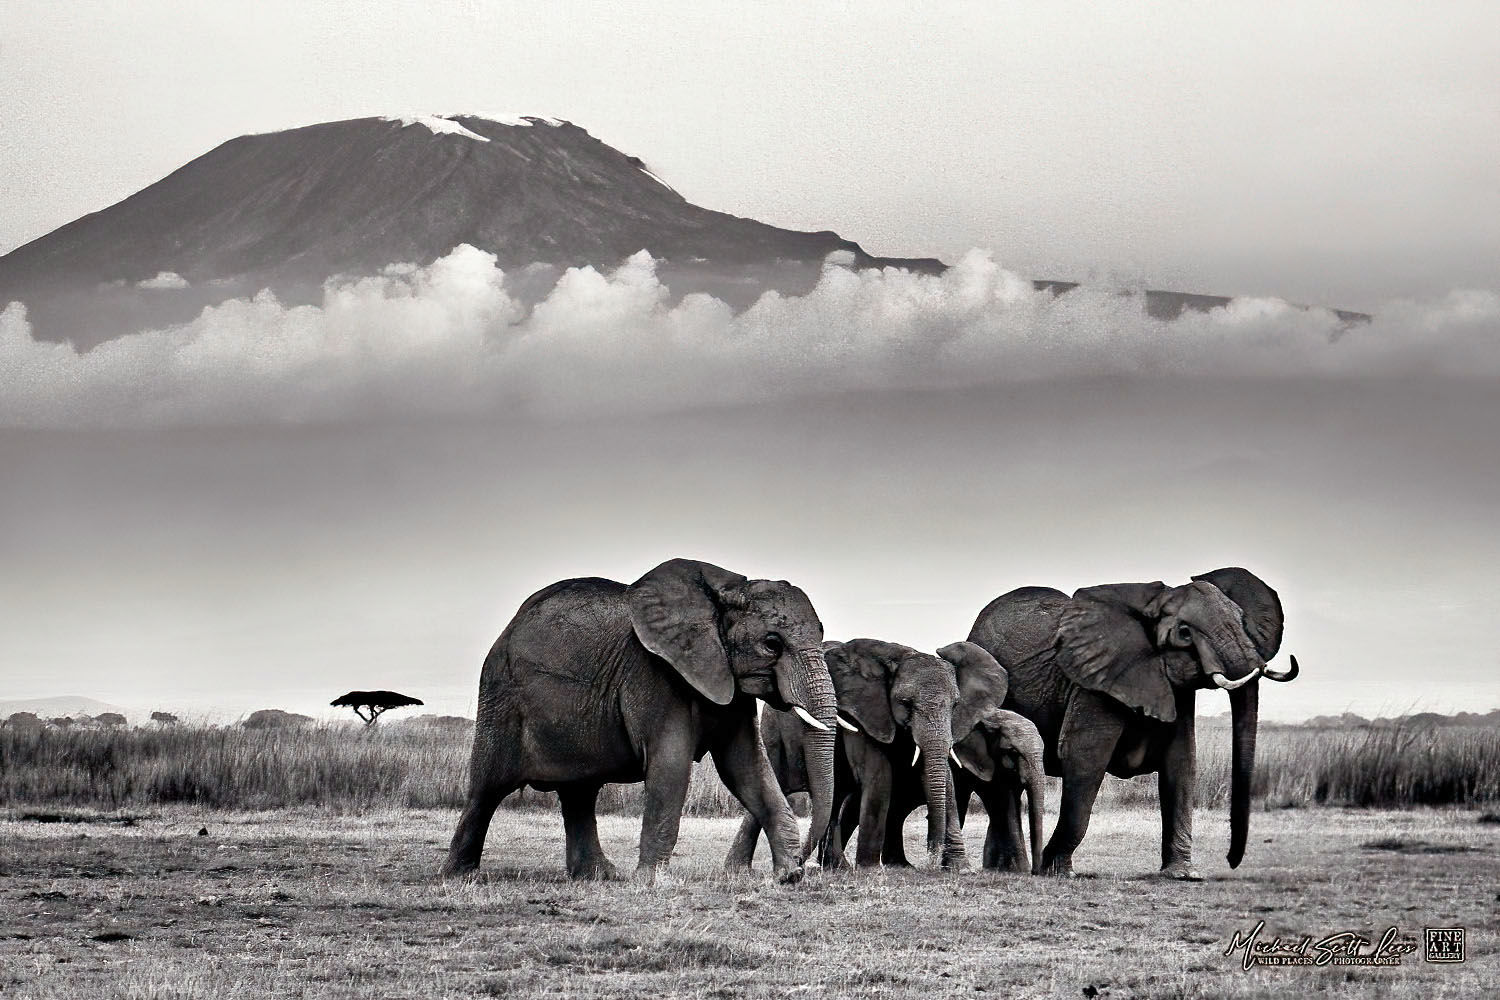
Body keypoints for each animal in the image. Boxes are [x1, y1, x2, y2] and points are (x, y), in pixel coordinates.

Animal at [443, 558, 839, 884]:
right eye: (772, 643)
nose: (807, 864)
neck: (723, 591)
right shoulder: (654, 674)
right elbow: (671, 765)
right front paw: (654, 883)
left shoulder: (727, 680)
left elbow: (746, 767)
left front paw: (787, 876)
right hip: (501, 695)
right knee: (488, 787)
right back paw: (461, 876)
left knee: (579, 792)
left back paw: (599, 876)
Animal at [724, 639, 1008, 870]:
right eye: (905, 703)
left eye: (955, 705)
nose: (931, 860)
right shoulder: (861, 713)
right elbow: (878, 774)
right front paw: (870, 870)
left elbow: (943, 777)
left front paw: (960, 869)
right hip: (774, 730)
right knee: (772, 781)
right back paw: (738, 870)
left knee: (834, 797)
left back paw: (836, 867)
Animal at [967, 567, 1298, 879]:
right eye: (1185, 634)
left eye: (1243, 621)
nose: (1231, 860)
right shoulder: (1094, 681)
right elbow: (1086, 757)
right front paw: (1059, 871)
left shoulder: (1174, 689)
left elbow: (1181, 762)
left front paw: (1183, 875)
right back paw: (1012, 868)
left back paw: (1004, 868)